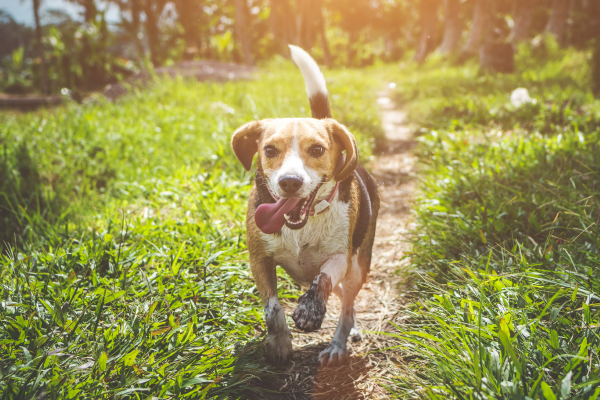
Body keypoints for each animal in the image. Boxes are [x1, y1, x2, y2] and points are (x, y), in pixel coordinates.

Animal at [231, 46, 380, 366]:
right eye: (269, 150)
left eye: (317, 149)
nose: (290, 182)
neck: (303, 224)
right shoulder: (259, 259)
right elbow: (273, 308)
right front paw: (279, 343)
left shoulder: (340, 257)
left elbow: (323, 279)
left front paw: (311, 311)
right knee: (344, 301)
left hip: (358, 267)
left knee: (346, 306)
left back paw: (338, 344)